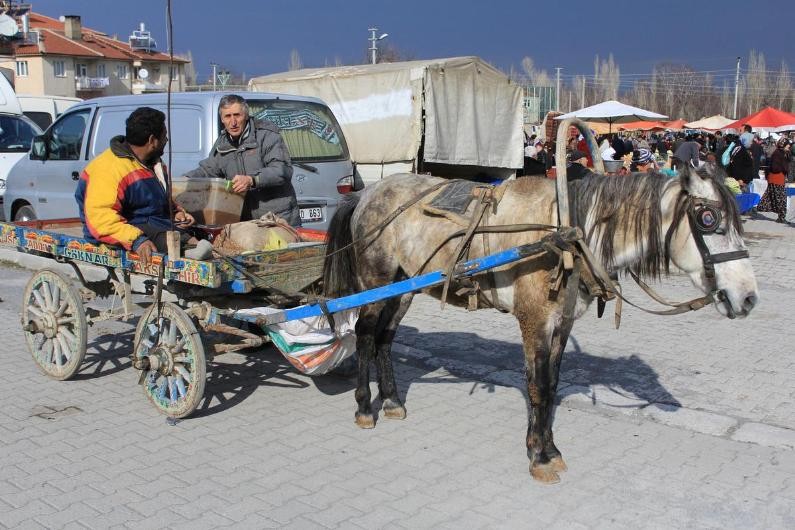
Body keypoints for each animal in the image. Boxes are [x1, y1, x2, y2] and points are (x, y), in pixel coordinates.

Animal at [322, 166, 760, 482]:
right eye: (708, 218)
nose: (748, 297)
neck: (566, 237)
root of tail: (367, 193)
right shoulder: (534, 322)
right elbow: (537, 386)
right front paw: (538, 456)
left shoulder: (561, 324)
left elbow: (552, 386)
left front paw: (551, 450)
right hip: (375, 283)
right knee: (365, 336)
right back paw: (365, 407)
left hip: (404, 287)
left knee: (385, 338)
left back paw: (393, 401)